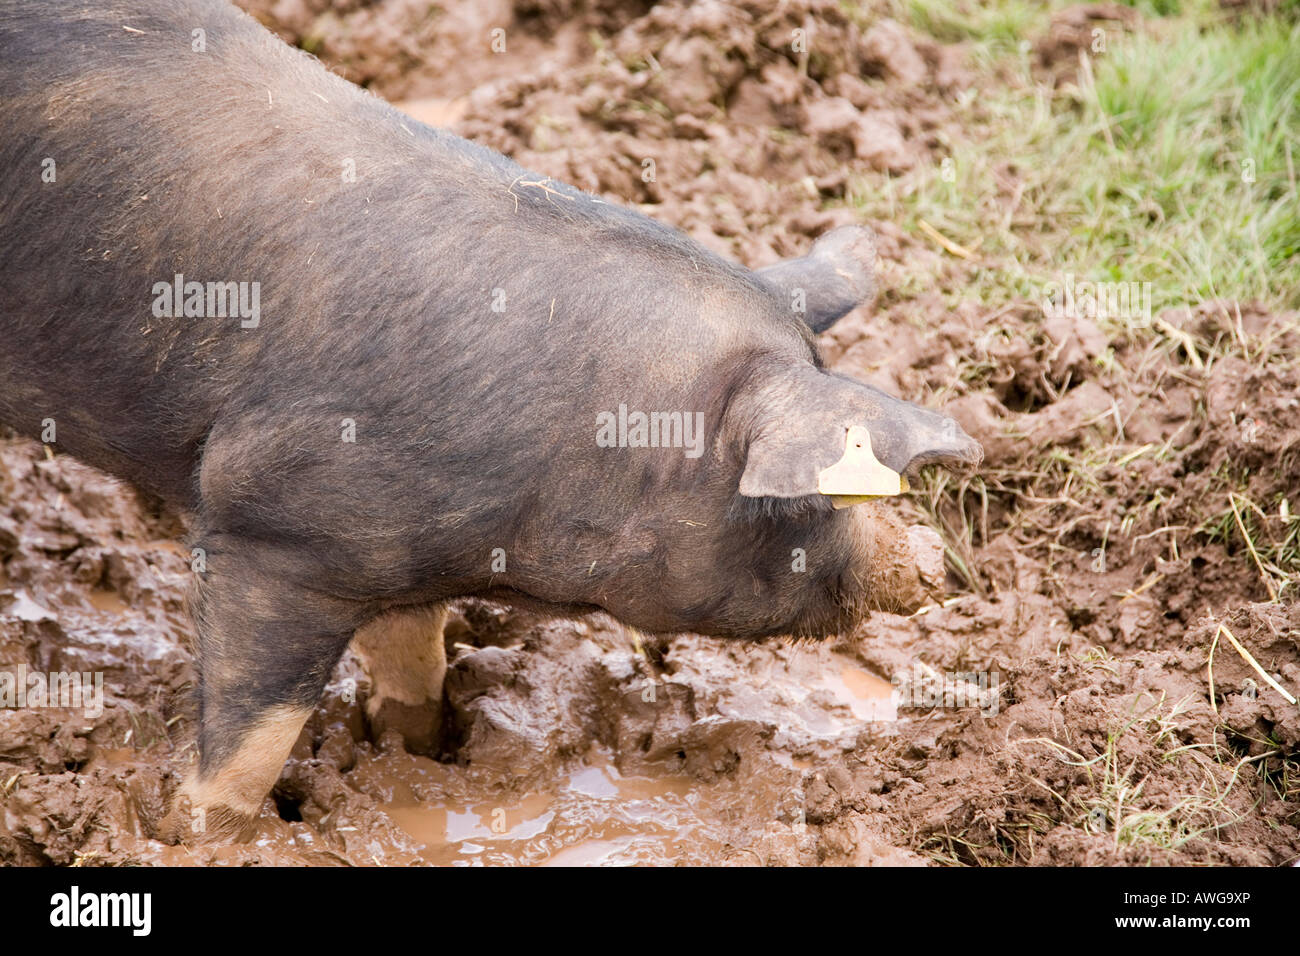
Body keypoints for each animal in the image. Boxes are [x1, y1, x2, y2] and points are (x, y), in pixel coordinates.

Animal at [0, 0, 981, 842]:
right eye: (815, 496)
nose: (933, 563)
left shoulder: (389, 557)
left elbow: (415, 671)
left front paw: (423, 763)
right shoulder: (266, 522)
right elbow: (251, 740)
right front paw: (203, 835)